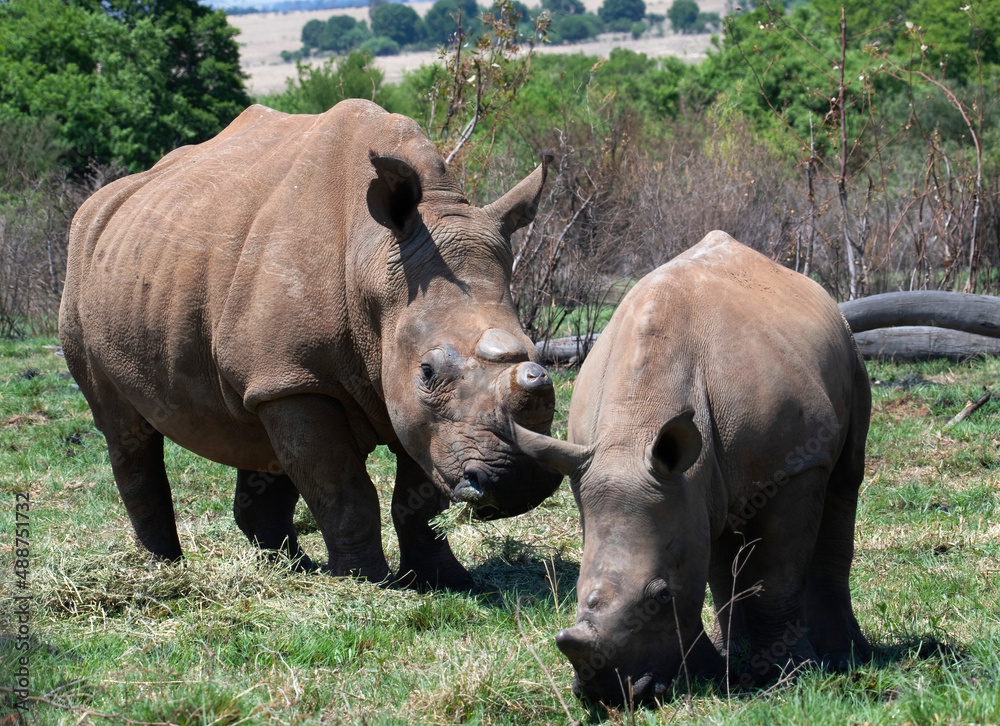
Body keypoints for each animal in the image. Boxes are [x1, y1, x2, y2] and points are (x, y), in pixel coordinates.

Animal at [59, 99, 562, 591]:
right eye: (428, 371)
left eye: (537, 352)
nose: (521, 483)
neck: (374, 263)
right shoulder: (301, 378)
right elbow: (343, 490)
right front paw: (364, 583)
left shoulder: (395, 395)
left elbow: (419, 494)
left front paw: (448, 582)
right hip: (83, 265)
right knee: (123, 429)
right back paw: (163, 569)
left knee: (257, 435)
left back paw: (289, 570)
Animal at [516, 231, 872, 703]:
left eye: (662, 596)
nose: (608, 696)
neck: (634, 431)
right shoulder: (612, 468)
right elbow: (703, 548)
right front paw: (717, 671)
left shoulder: (794, 466)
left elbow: (778, 576)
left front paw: (791, 677)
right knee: (716, 524)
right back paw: (733, 653)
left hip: (849, 351)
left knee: (844, 483)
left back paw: (844, 654)